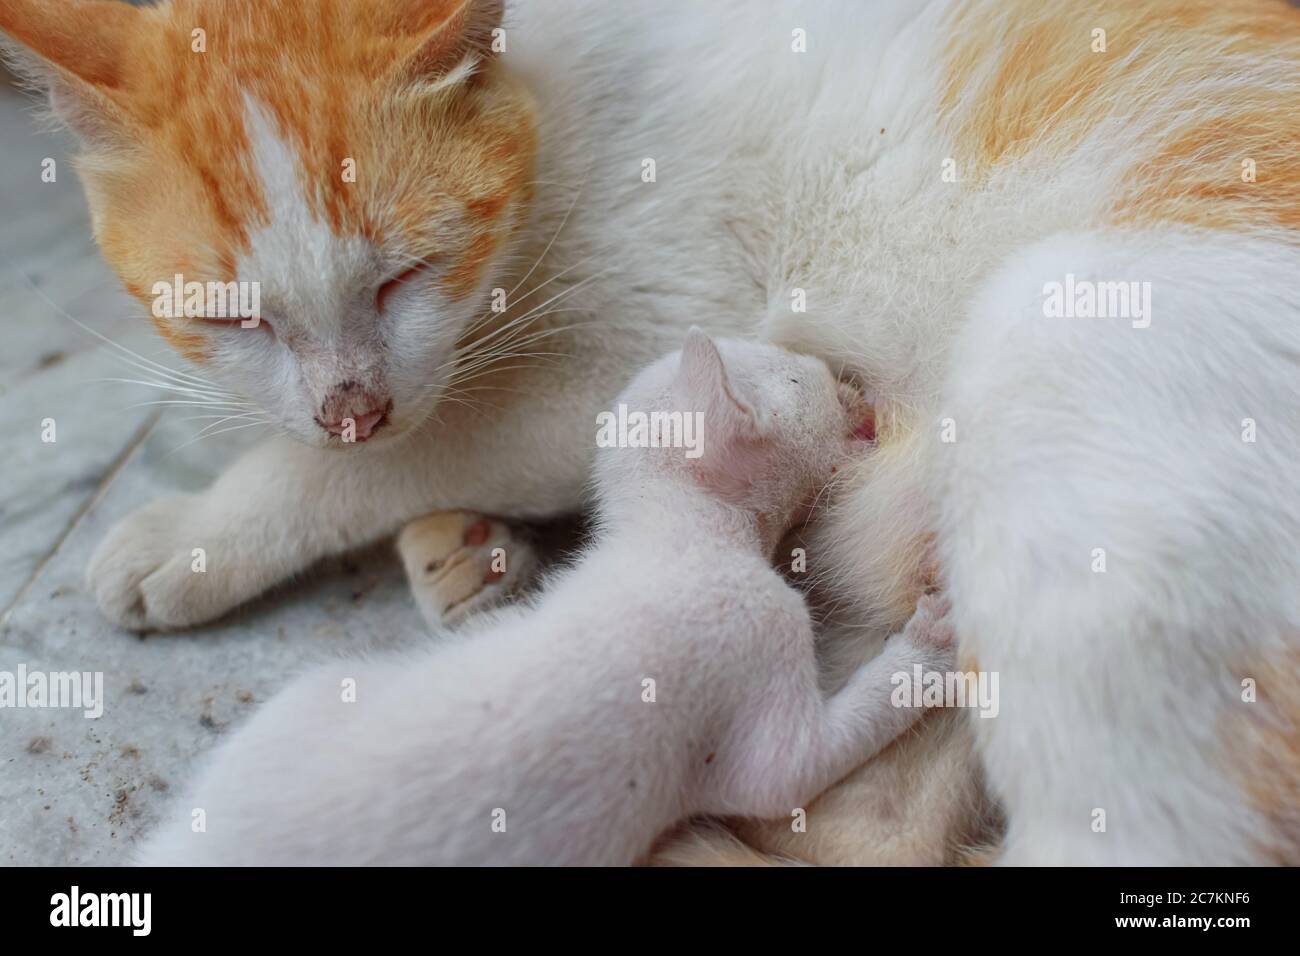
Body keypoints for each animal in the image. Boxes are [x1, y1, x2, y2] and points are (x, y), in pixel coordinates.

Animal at [137, 335, 956, 868]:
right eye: (796, 380)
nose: (849, 378)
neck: (670, 533)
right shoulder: (750, 646)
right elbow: (787, 771)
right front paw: (932, 637)